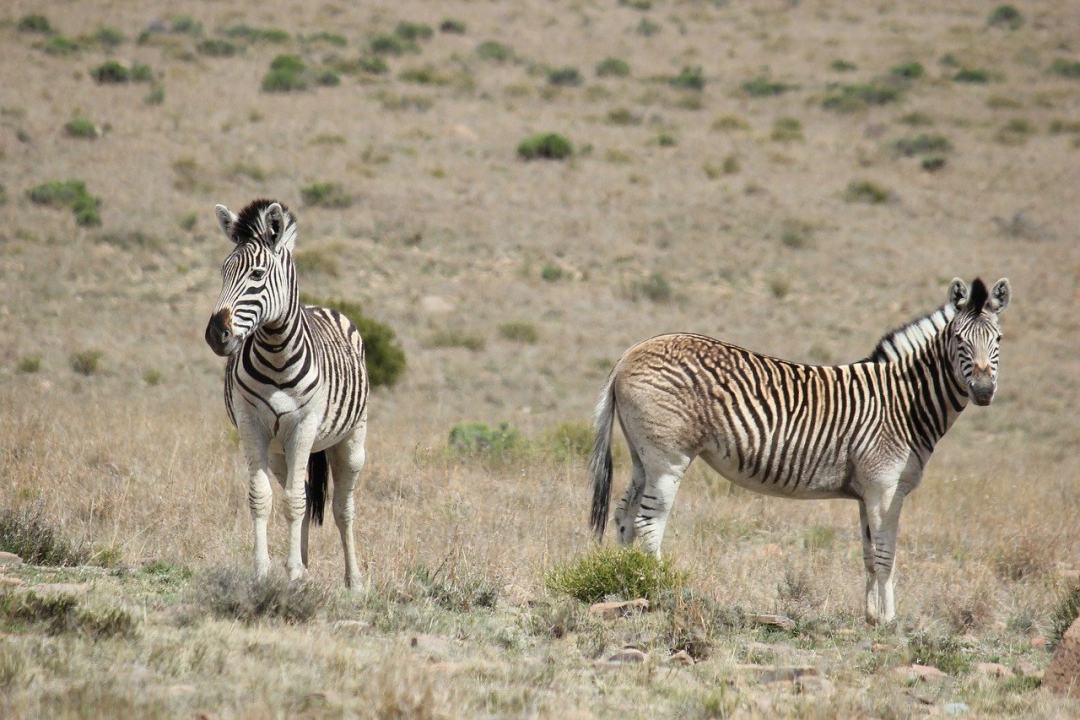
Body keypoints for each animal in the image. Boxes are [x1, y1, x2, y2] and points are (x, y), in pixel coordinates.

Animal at [204, 198, 369, 591]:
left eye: (257, 275)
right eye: (223, 272)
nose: (216, 334)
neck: (277, 352)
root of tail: (320, 306)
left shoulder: (304, 425)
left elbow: (295, 501)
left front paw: (292, 571)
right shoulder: (252, 424)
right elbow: (263, 497)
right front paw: (266, 571)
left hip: (350, 441)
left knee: (342, 508)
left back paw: (353, 579)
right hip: (279, 451)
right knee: (306, 495)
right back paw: (305, 566)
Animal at [587, 278, 1006, 626]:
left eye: (999, 340)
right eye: (959, 339)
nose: (985, 391)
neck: (904, 402)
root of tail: (630, 352)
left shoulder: (866, 492)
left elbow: (870, 554)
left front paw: (871, 616)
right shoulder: (885, 487)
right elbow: (886, 554)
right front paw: (888, 621)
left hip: (642, 456)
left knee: (624, 517)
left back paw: (627, 582)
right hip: (667, 458)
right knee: (649, 522)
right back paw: (659, 587)